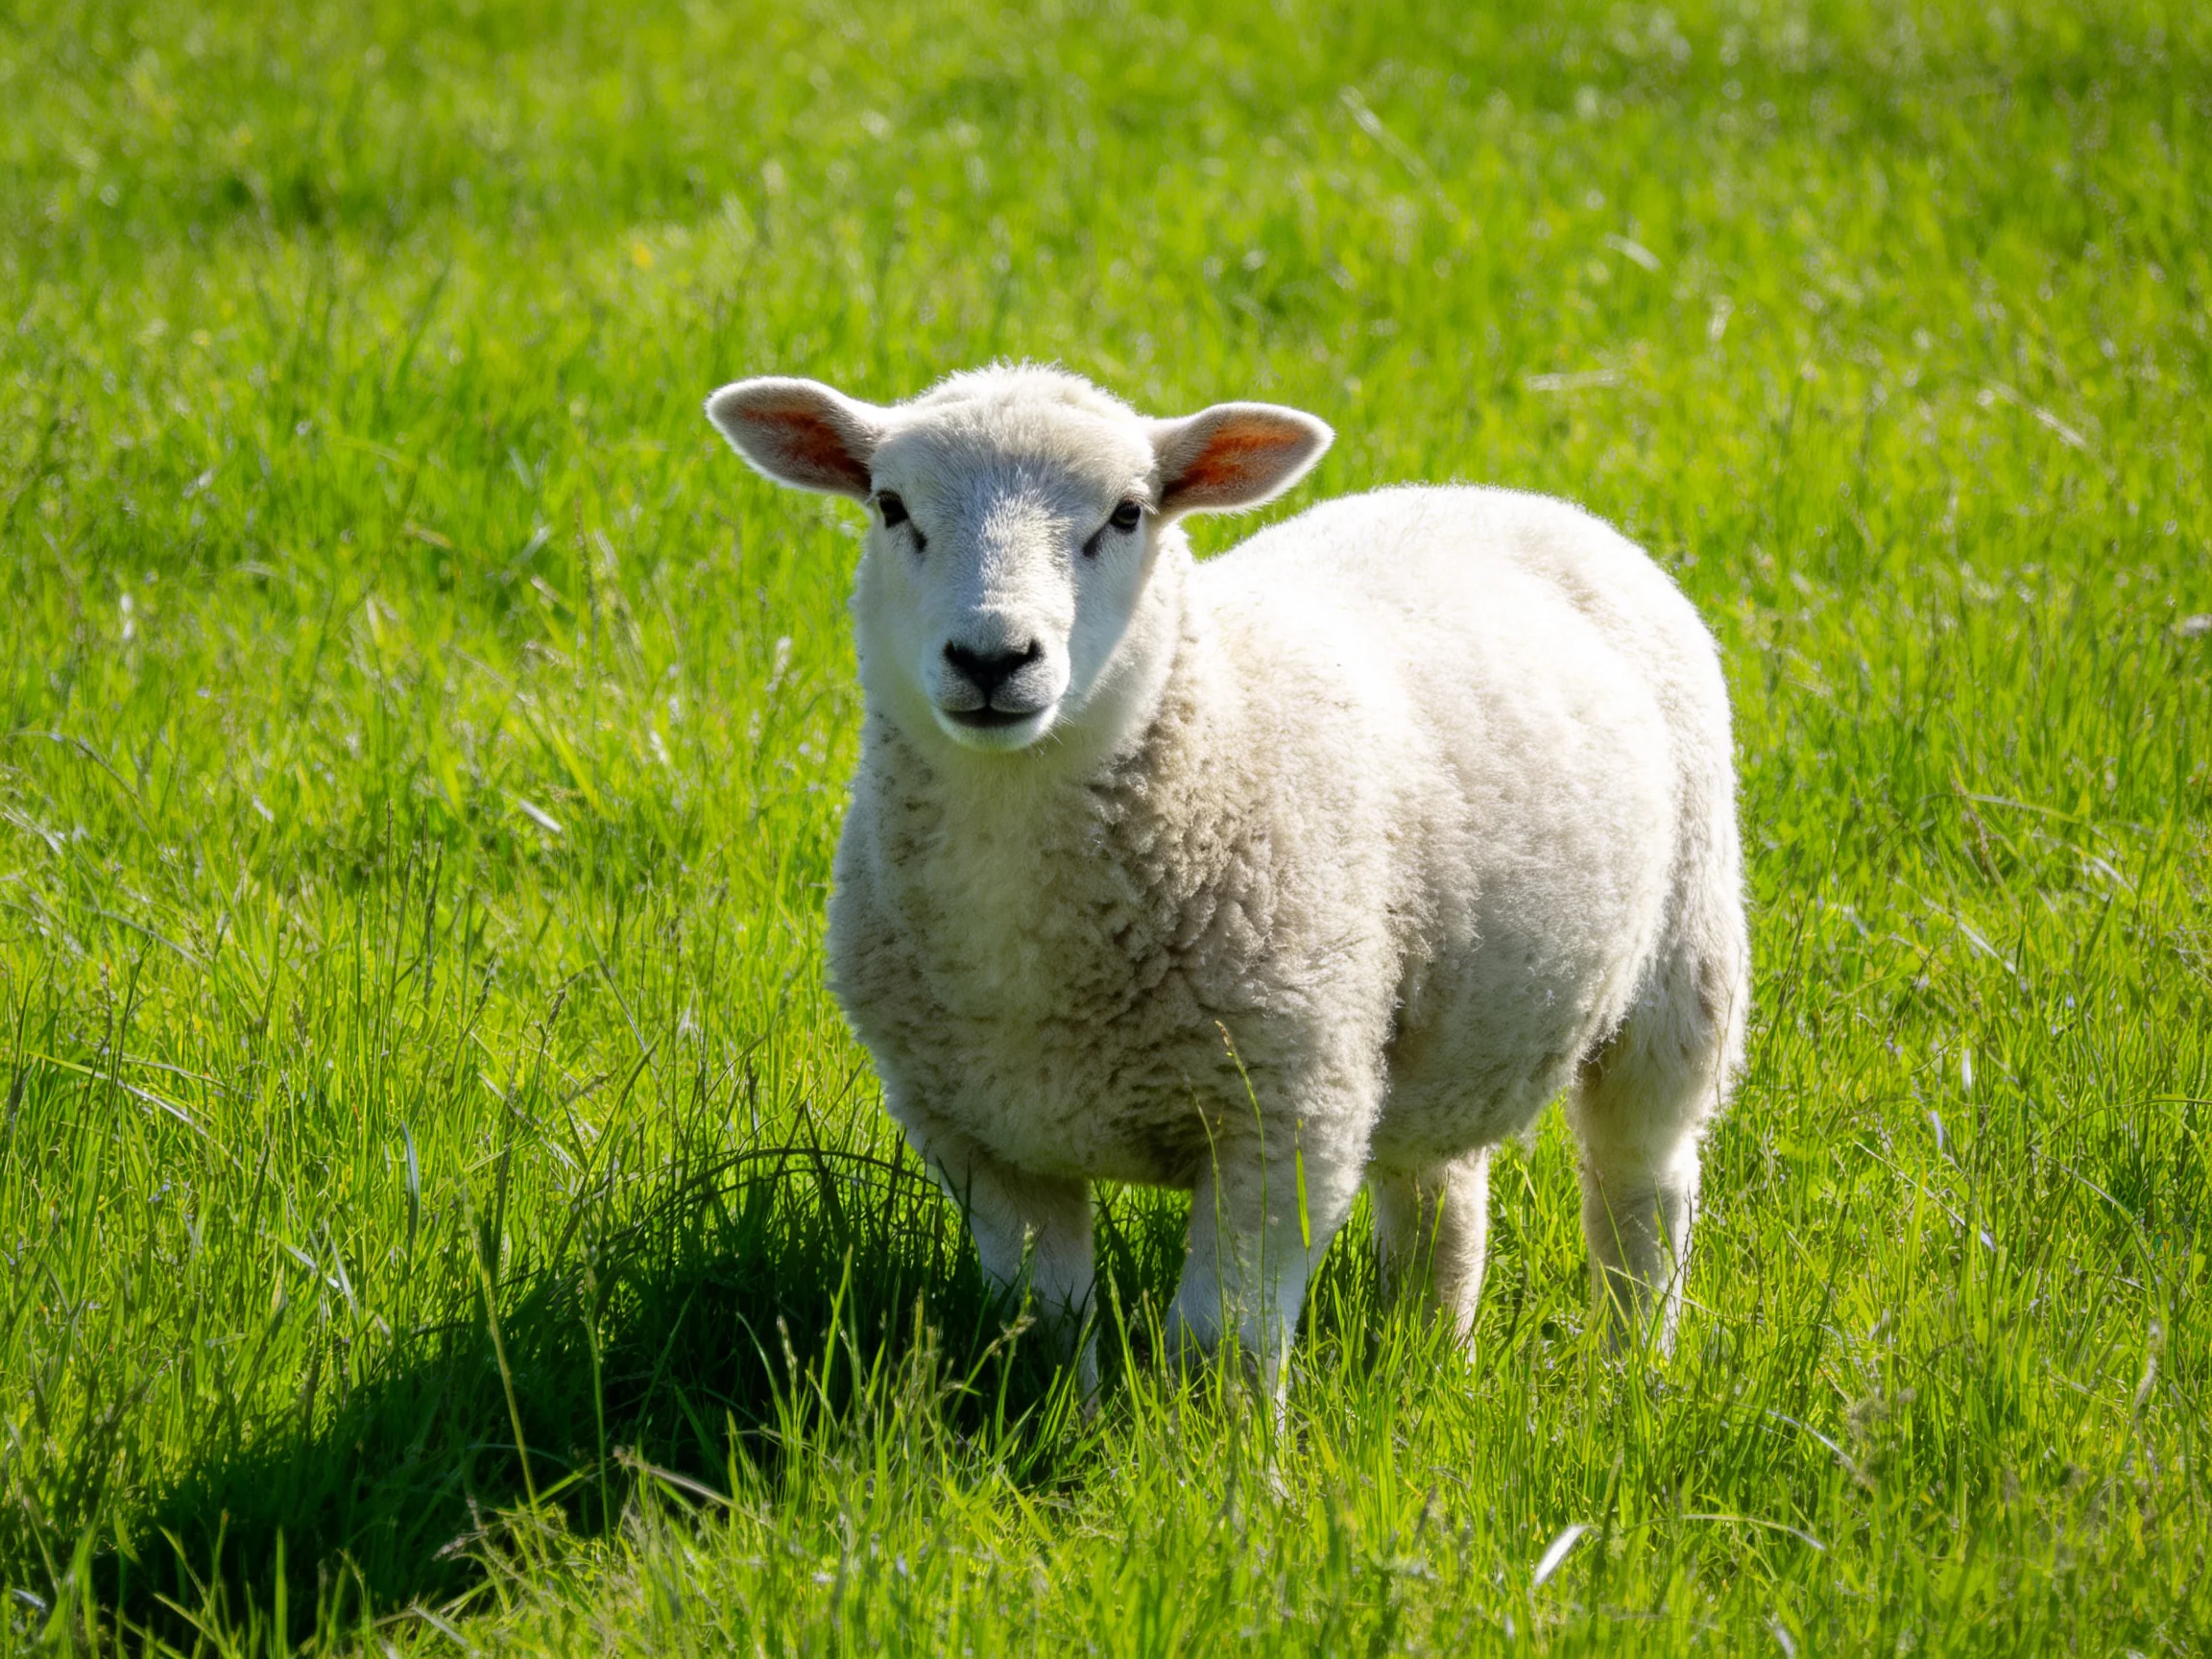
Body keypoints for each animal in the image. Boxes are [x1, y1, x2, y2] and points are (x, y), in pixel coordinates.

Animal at [705, 363, 1748, 1392]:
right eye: (891, 507)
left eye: (1127, 514)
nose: (993, 657)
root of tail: (1498, 496)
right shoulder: (979, 1138)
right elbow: (1044, 1326)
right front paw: (1069, 1423)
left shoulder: (1283, 1113)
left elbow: (1220, 1346)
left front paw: (1220, 1448)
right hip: (1424, 1023)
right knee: (1438, 1192)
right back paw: (1423, 1367)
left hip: (1682, 961)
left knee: (1643, 1185)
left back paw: (1632, 1375)